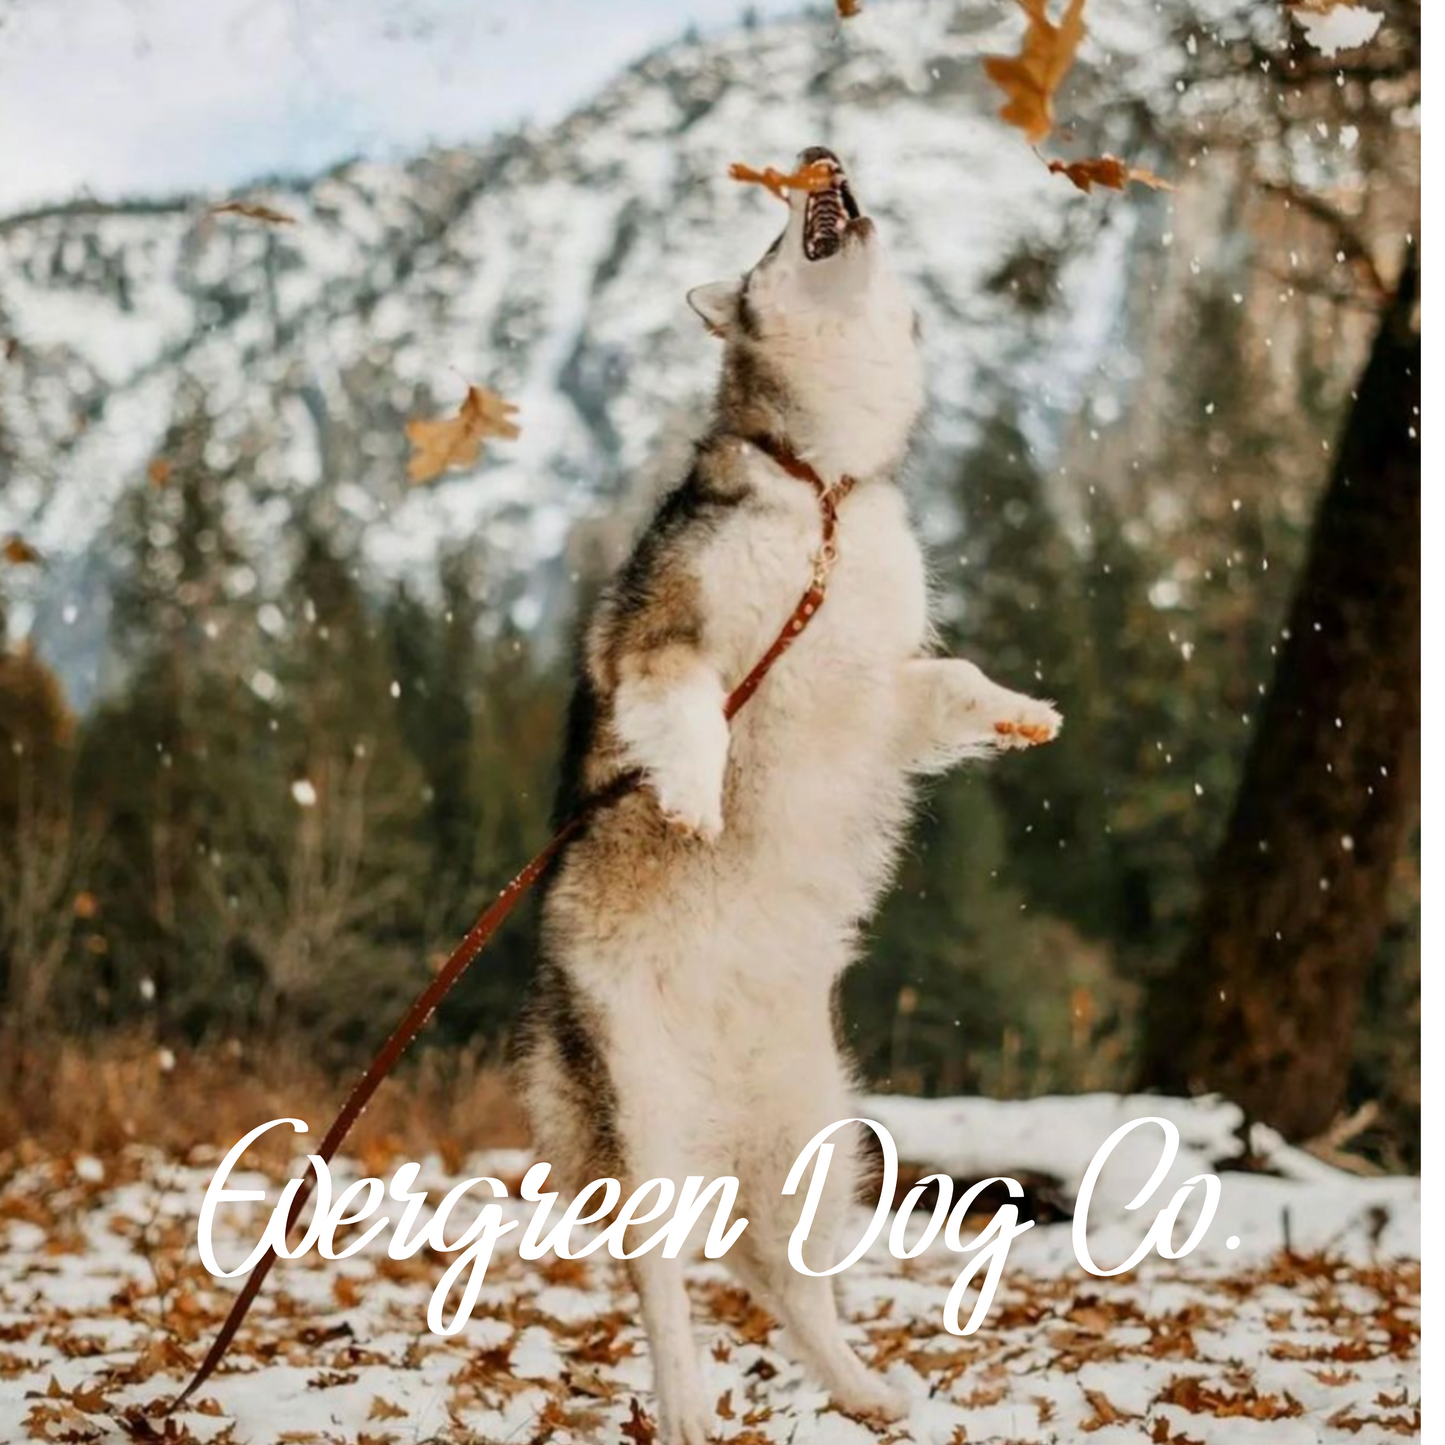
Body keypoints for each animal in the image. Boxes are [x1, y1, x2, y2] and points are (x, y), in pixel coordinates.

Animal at [514, 152, 1057, 1439]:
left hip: (817, 1132)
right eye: (768, 240)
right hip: (643, 1117)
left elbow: (949, 683)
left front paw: (1017, 712)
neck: (822, 486)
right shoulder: (666, 634)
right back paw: (685, 1402)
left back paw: (861, 1386)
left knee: (775, 1271)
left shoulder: (881, 683)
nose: (826, 158)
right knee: (665, 1280)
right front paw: (693, 792)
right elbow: (690, 712)